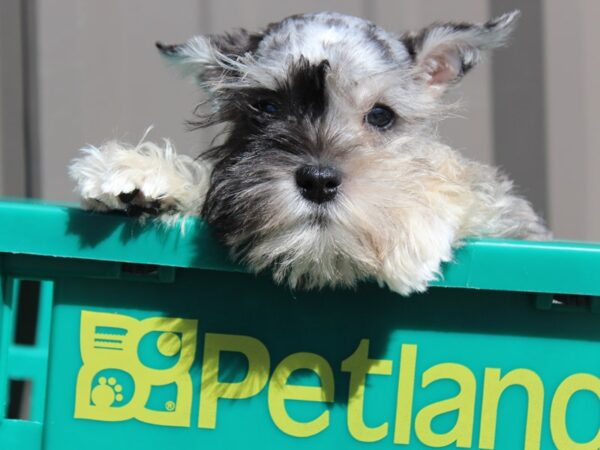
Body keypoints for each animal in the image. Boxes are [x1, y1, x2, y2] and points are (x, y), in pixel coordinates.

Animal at [69, 10, 548, 296]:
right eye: (266, 107)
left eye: (381, 115)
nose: (318, 181)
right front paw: (141, 174)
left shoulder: (515, 221)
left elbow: (466, 180)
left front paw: (409, 225)